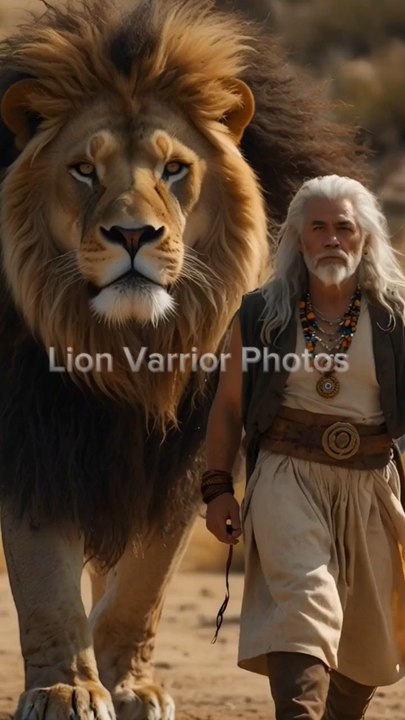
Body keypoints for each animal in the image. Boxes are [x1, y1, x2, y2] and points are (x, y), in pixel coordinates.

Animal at [0, 1, 366, 718]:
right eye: (83, 170)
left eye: (173, 169)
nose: (133, 234)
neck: (125, 350)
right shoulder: (32, 431)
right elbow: (45, 580)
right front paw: (66, 689)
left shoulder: (184, 445)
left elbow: (144, 581)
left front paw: (128, 684)